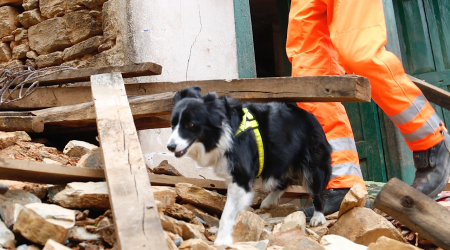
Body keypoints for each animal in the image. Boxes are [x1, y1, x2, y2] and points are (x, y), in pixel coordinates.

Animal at [167, 87, 332, 245]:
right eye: (173, 124)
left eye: (190, 124)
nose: (170, 147)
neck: (223, 132)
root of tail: (312, 117)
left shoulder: (240, 178)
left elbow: (227, 213)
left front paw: (222, 240)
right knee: (285, 178)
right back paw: (269, 200)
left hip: (312, 162)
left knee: (316, 187)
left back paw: (318, 216)